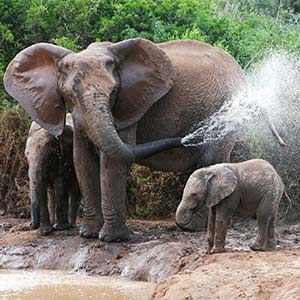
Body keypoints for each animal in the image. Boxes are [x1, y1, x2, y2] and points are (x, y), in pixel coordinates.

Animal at [4, 38, 284, 243]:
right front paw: (88, 235)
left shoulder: (128, 107)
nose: (182, 138)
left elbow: (112, 160)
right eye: (70, 94)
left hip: (227, 110)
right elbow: (82, 159)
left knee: (211, 158)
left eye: (113, 92)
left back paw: (192, 226)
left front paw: (112, 239)